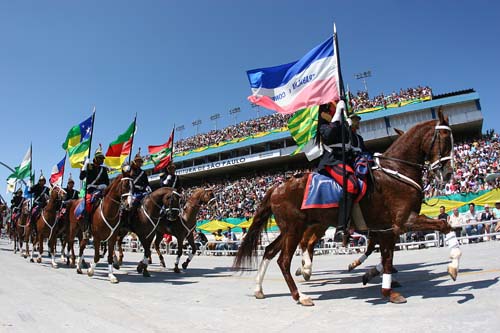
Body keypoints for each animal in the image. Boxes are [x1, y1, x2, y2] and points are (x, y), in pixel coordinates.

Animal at [234, 110, 460, 304]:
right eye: (445, 139)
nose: (448, 173)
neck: (396, 171)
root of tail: (278, 186)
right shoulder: (404, 221)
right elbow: (444, 225)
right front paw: (453, 266)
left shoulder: (387, 229)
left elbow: (387, 257)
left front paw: (386, 289)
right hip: (295, 229)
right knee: (284, 260)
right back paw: (300, 295)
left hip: (290, 229)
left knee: (270, 251)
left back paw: (260, 288)